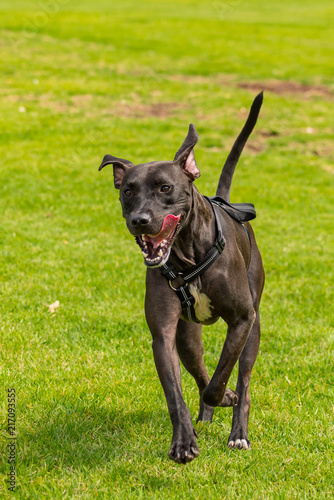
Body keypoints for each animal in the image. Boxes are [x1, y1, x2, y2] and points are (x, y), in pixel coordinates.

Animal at [98, 94, 264, 464]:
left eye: (165, 188)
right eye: (127, 191)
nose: (139, 219)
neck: (190, 257)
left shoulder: (242, 320)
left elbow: (222, 375)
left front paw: (225, 397)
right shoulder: (163, 336)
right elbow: (178, 392)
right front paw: (184, 441)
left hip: (254, 324)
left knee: (242, 378)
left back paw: (238, 432)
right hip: (188, 337)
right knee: (199, 370)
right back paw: (205, 417)